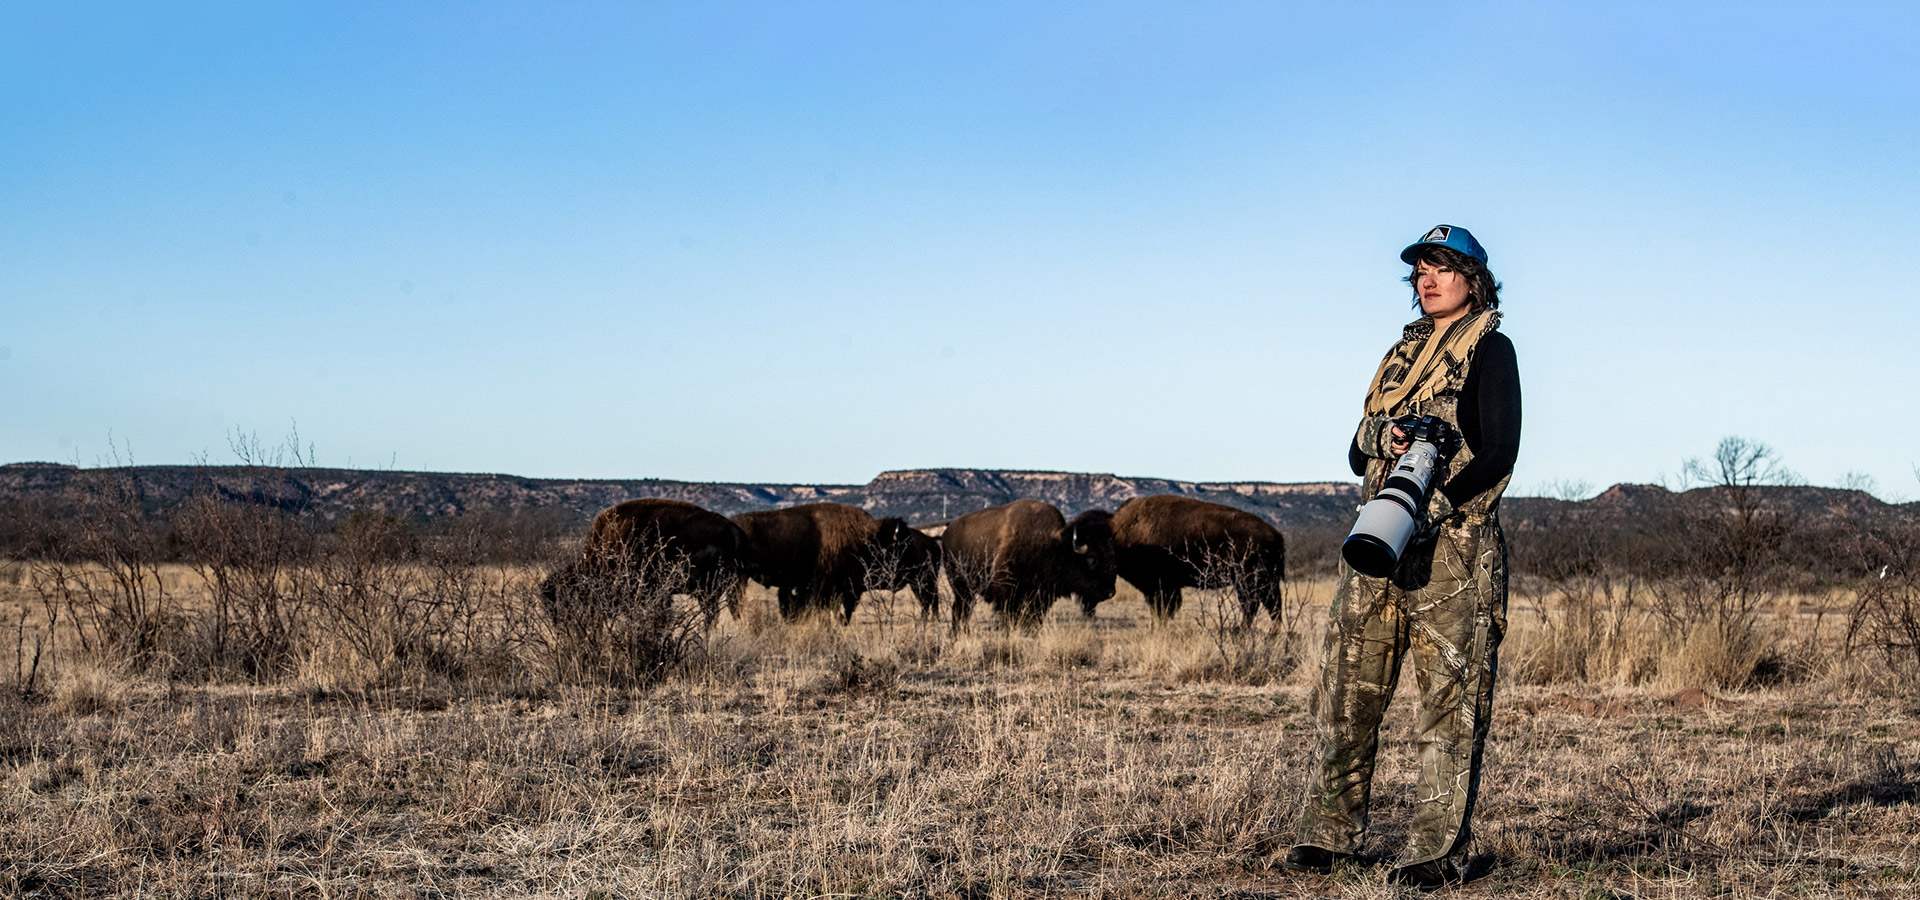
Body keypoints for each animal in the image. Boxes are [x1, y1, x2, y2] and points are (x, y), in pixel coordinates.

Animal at [940, 498, 1121, 633]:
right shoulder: (1008, 595)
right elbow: (1010, 617)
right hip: (961, 588)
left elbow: (1034, 619)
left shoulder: (1042, 597)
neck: (1054, 545)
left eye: (1112, 556)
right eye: (1091, 558)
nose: (1110, 592)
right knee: (960, 610)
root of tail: (947, 532)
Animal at [1098, 491, 1290, 625]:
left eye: (1106, 558)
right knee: (1271, 606)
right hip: (1263, 582)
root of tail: (1275, 534)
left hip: (1251, 582)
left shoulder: (1161, 587)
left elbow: (1163, 610)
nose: (1107, 592)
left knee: (1255, 606)